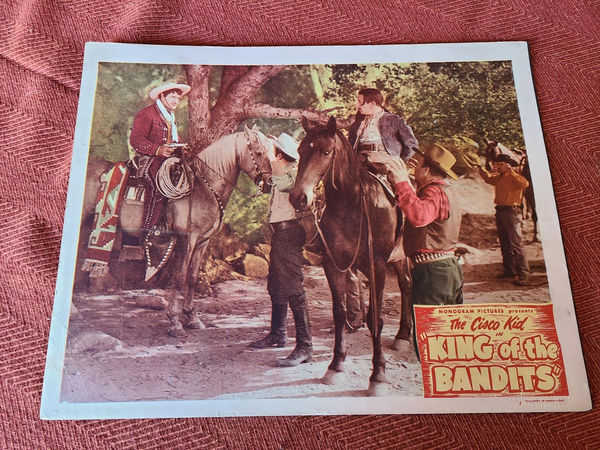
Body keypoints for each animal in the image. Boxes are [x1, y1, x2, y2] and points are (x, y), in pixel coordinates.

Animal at [290, 117, 412, 398]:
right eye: (301, 151)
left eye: (325, 152)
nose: (298, 197)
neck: (351, 206)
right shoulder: (333, 265)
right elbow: (339, 312)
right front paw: (336, 365)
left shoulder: (378, 267)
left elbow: (376, 318)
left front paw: (378, 375)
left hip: (400, 256)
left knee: (406, 284)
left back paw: (402, 336)